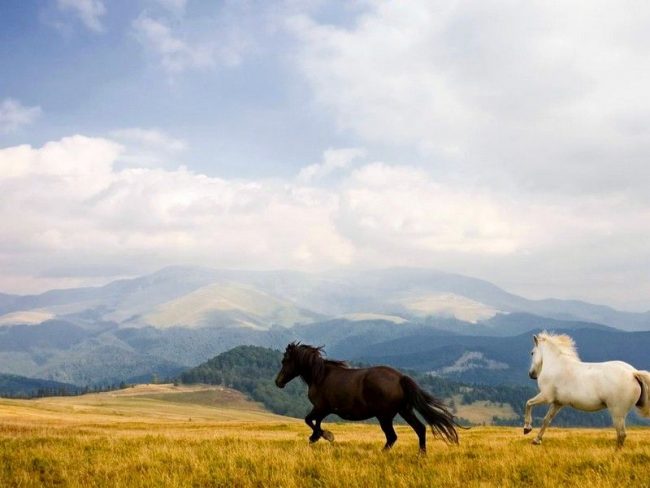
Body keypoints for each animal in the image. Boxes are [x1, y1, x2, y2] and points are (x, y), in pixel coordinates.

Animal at [274, 342, 460, 452]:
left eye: (285, 361)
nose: (278, 382)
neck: (320, 376)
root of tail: (400, 378)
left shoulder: (321, 407)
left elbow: (309, 420)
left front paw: (326, 436)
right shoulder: (324, 410)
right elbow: (315, 422)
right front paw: (317, 437)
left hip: (385, 416)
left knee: (392, 437)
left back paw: (382, 453)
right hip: (405, 411)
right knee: (420, 429)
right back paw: (421, 455)